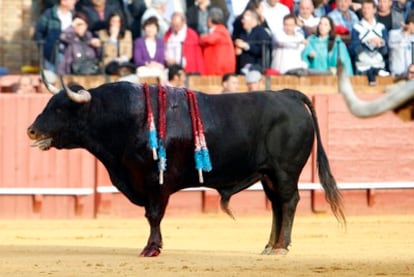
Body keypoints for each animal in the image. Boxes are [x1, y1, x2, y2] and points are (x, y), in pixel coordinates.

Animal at [26, 81, 346, 254]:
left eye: (59, 108)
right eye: (48, 103)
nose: (31, 130)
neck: (124, 117)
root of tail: (287, 94)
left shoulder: (156, 181)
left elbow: (154, 215)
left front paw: (152, 247)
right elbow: (150, 215)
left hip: (285, 172)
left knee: (289, 202)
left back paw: (281, 246)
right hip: (268, 175)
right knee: (278, 205)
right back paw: (269, 245)